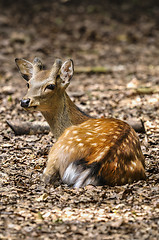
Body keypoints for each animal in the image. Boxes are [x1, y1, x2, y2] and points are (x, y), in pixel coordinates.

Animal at [15, 57, 146, 188]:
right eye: (28, 84)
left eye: (51, 85)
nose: (24, 101)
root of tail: (97, 162)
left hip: (58, 149)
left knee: (47, 176)